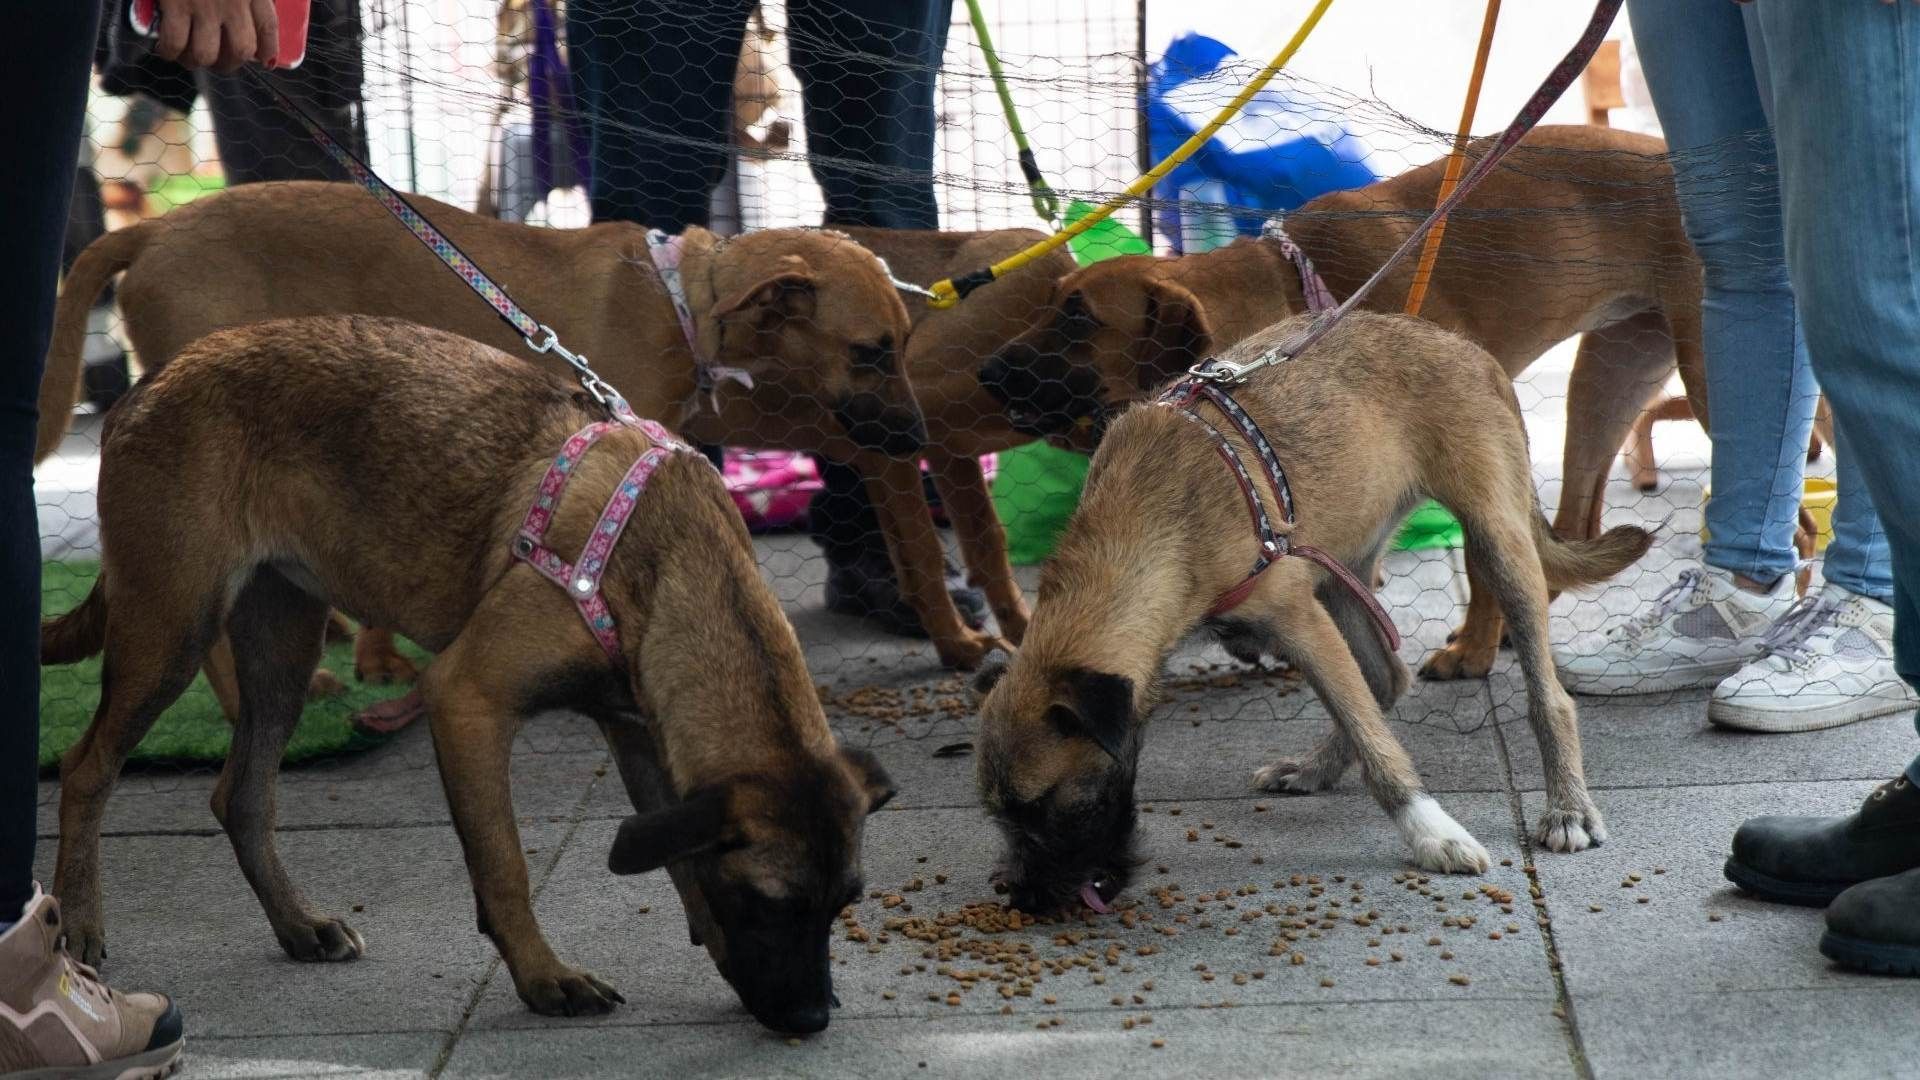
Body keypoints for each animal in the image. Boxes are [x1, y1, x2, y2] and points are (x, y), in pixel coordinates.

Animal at [975, 313, 1651, 907]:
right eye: (999, 816)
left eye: (1059, 805)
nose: (1024, 900)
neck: (1150, 524)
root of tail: (1467, 347)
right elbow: (1362, 710)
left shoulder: (1299, 621)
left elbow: (1375, 742)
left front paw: (1432, 832)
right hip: (1343, 567)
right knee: (1386, 676)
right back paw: (1316, 767)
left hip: (1496, 545)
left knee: (1545, 695)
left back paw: (1567, 806)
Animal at [983, 123, 1704, 672]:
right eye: (1053, 301)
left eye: (1078, 316)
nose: (985, 371)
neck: (1298, 289)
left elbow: (1479, 560)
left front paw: (1473, 652)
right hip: (1610, 375)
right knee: (1572, 527)